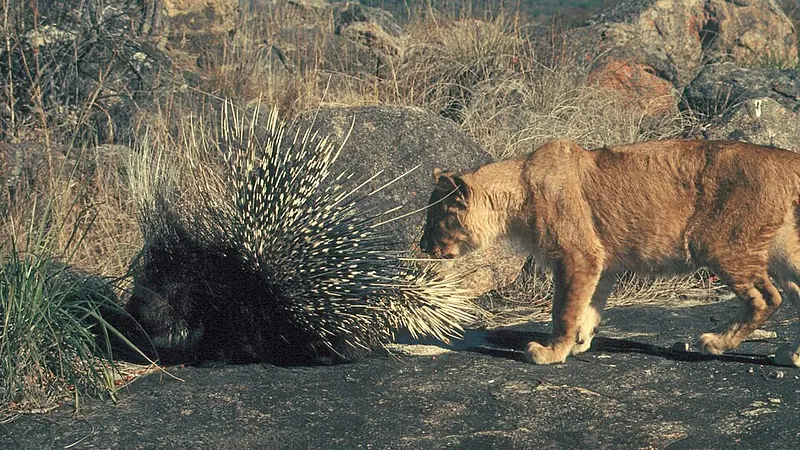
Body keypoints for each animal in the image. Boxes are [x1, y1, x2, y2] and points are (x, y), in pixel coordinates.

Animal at [420, 139, 800, 367]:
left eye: (434, 218)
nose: (422, 247)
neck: (517, 190)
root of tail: (784, 157)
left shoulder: (578, 255)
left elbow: (563, 309)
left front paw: (551, 351)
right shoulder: (600, 261)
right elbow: (588, 306)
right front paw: (579, 341)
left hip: (718, 243)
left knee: (767, 298)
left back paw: (716, 342)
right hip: (782, 248)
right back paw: (791, 355)